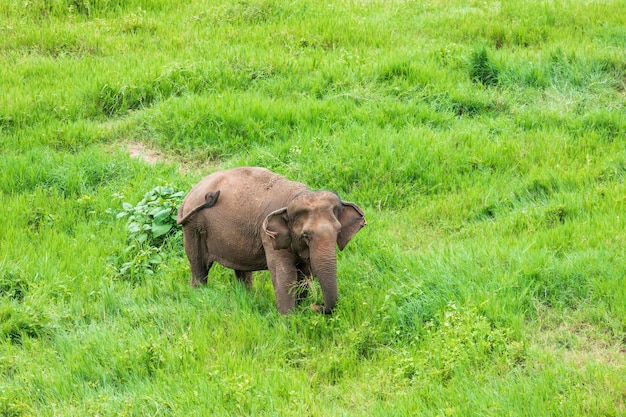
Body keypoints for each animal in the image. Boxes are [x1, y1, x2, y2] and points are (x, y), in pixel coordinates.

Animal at [176, 166, 366, 312]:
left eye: (338, 232)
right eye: (306, 235)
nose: (316, 306)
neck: (296, 196)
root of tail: (189, 195)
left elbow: (305, 272)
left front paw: (301, 310)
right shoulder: (268, 235)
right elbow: (285, 274)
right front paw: (289, 321)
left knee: (241, 270)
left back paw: (246, 297)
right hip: (193, 227)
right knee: (199, 266)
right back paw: (200, 296)